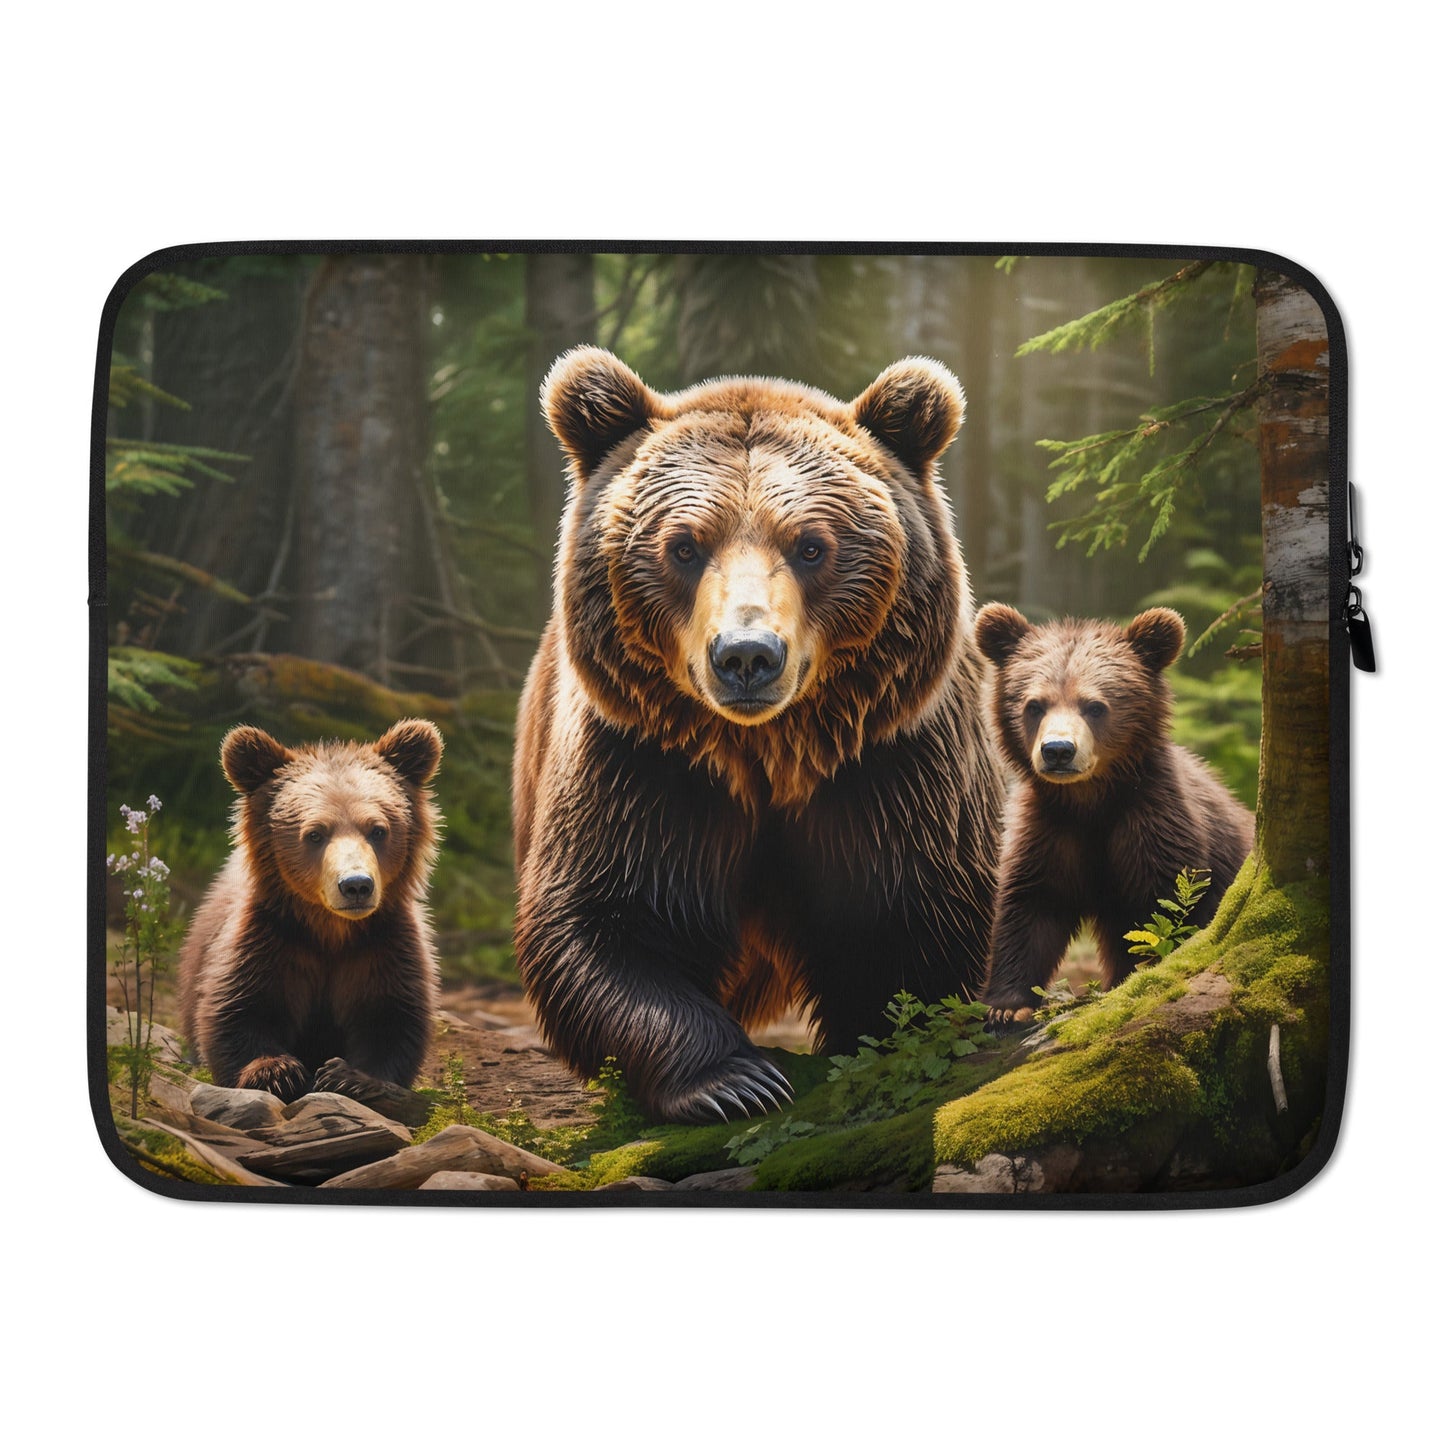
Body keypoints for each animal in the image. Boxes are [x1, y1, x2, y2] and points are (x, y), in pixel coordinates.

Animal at [177, 719, 444, 1102]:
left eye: (378, 830)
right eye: (315, 833)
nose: (356, 885)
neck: (330, 929)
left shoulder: (382, 945)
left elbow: (392, 1017)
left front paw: (349, 1076)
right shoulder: (270, 938)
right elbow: (238, 1009)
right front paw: (276, 1071)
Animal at [512, 346, 1006, 1123]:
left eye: (810, 546)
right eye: (684, 546)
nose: (746, 654)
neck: (769, 751)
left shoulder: (892, 764)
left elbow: (912, 923)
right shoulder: (643, 762)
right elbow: (602, 920)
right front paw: (735, 1081)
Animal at [972, 603, 1254, 1024]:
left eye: (1095, 706)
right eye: (1034, 704)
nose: (1058, 750)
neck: (1091, 800)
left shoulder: (1153, 823)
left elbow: (1167, 914)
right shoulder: (1050, 829)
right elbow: (1031, 907)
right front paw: (1007, 1006)